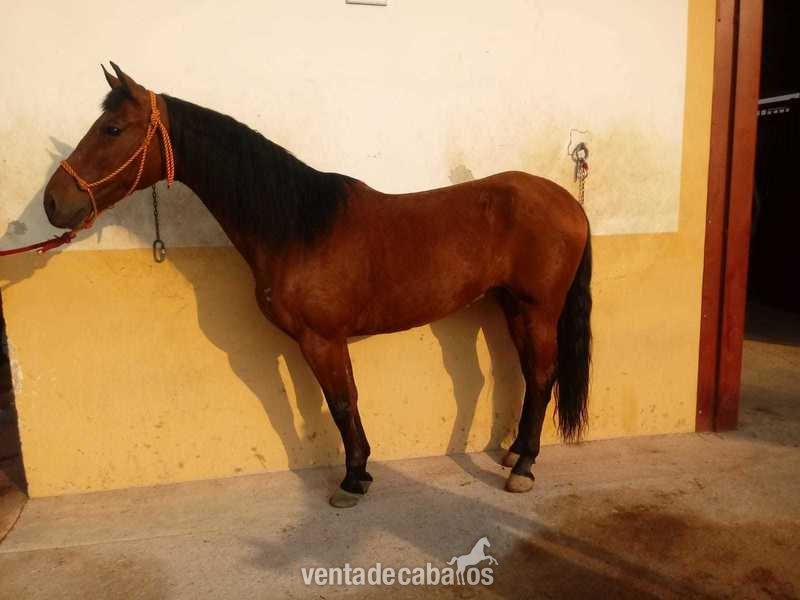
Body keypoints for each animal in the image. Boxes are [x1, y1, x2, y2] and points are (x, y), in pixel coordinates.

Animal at [43, 63, 592, 508]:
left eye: (112, 128)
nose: (53, 202)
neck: (297, 226)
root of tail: (567, 201)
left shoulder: (321, 339)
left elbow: (341, 403)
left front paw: (352, 481)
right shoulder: (325, 341)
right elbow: (344, 400)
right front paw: (360, 471)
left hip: (537, 309)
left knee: (542, 375)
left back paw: (524, 468)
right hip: (513, 307)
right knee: (531, 377)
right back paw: (515, 454)